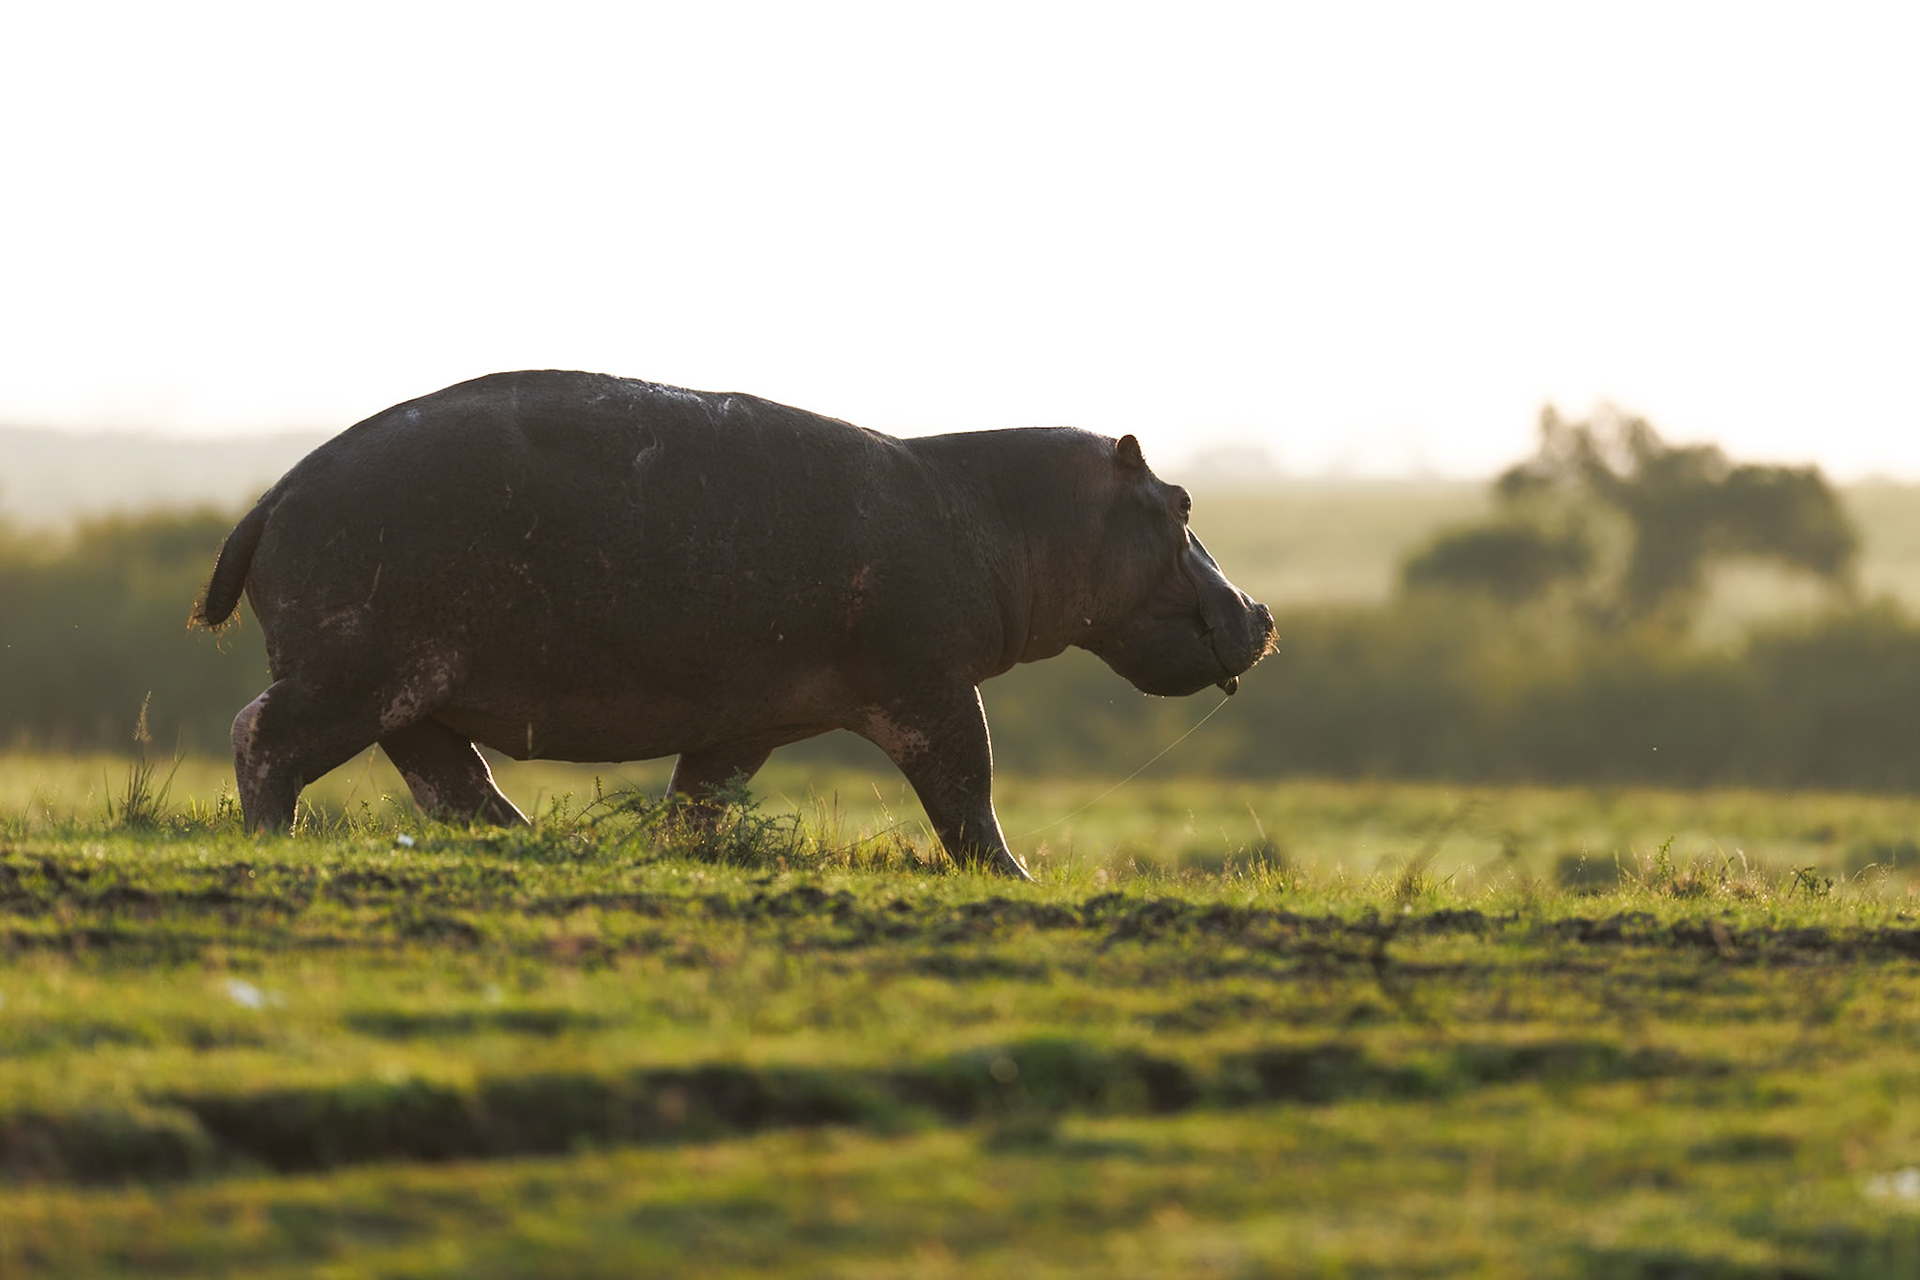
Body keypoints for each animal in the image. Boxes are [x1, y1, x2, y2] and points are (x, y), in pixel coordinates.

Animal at [196, 371, 1275, 878]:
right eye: (1179, 502)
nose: (1260, 611)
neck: (1002, 514)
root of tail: (272, 494)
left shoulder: (749, 717)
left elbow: (700, 800)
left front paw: (669, 853)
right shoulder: (930, 684)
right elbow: (968, 788)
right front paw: (1019, 877)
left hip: (409, 685)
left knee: (452, 781)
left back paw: (539, 842)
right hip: (360, 667)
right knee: (264, 735)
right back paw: (275, 840)